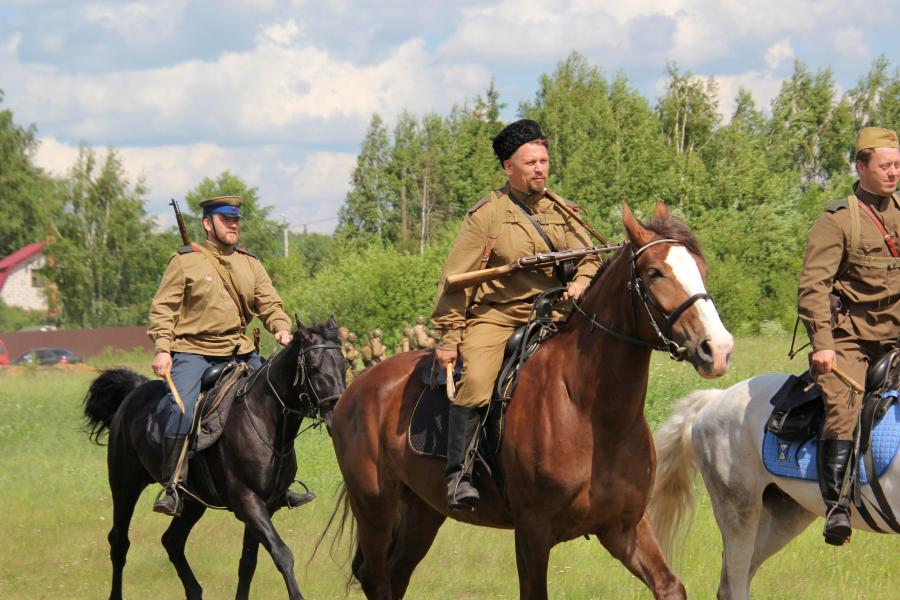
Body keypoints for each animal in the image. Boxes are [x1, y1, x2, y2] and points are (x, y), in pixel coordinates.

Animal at [328, 204, 732, 596]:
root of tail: (355, 390)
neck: (593, 413)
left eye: (701, 269)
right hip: (374, 506)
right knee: (376, 577)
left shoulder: (624, 528)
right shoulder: (532, 533)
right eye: (654, 273)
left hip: (422, 511)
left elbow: (669, 586)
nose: (718, 349)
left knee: (395, 575)